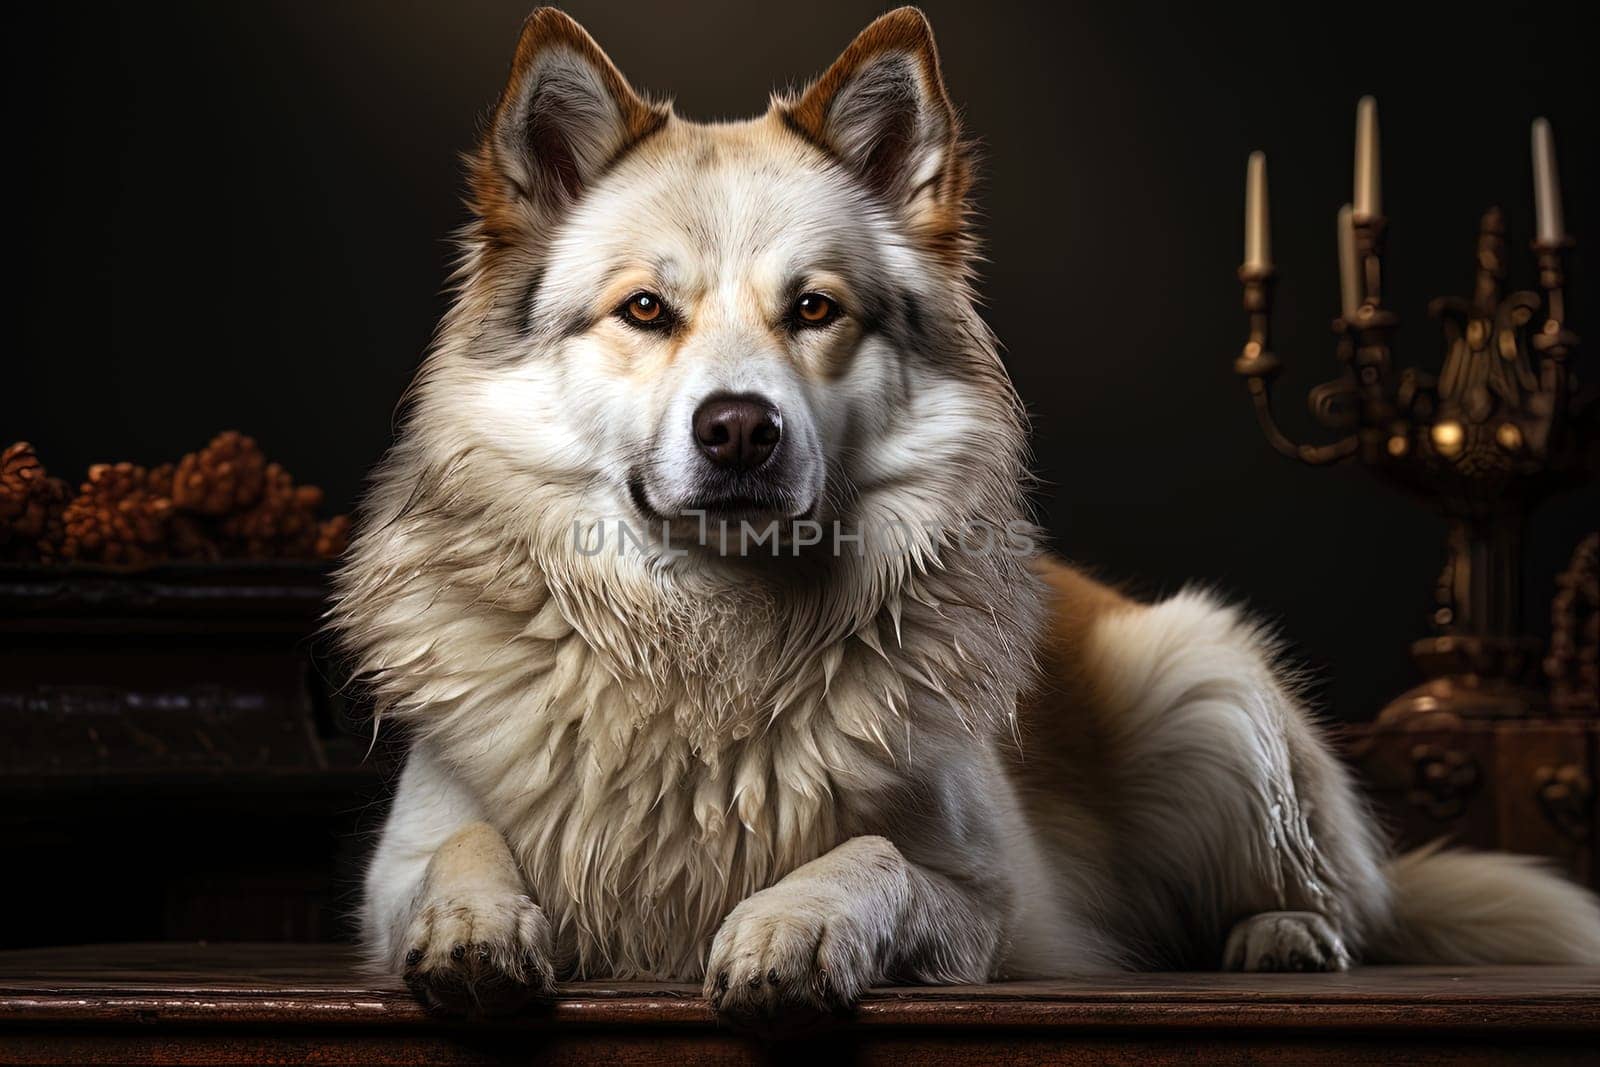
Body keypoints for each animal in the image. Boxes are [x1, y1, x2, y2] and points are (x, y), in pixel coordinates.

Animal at [331, 6, 1593, 1017]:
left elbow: (876, 855)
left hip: (1205, 684)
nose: (739, 429)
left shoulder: (993, 900)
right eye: (644, 309)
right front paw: (474, 925)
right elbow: (459, 848)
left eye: (814, 308)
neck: (707, 642)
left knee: (1341, 897)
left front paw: (798, 920)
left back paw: (1286, 933)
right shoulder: (393, 865)